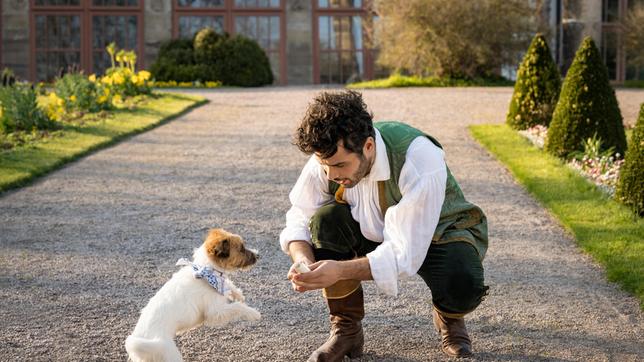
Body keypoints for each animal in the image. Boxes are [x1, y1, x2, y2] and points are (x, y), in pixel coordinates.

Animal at [126, 229, 262, 362]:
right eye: (241, 248)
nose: (258, 255)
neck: (206, 270)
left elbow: (230, 286)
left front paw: (238, 294)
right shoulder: (216, 311)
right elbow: (237, 307)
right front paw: (253, 313)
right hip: (170, 354)